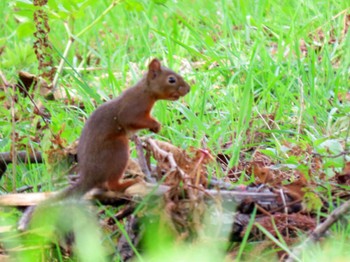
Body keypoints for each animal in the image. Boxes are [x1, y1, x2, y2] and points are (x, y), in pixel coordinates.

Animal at [19, 58, 191, 229]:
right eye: (171, 79)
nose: (188, 89)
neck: (145, 91)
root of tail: (89, 177)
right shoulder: (132, 109)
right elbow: (132, 119)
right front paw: (155, 125)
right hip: (118, 150)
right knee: (112, 184)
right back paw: (129, 182)